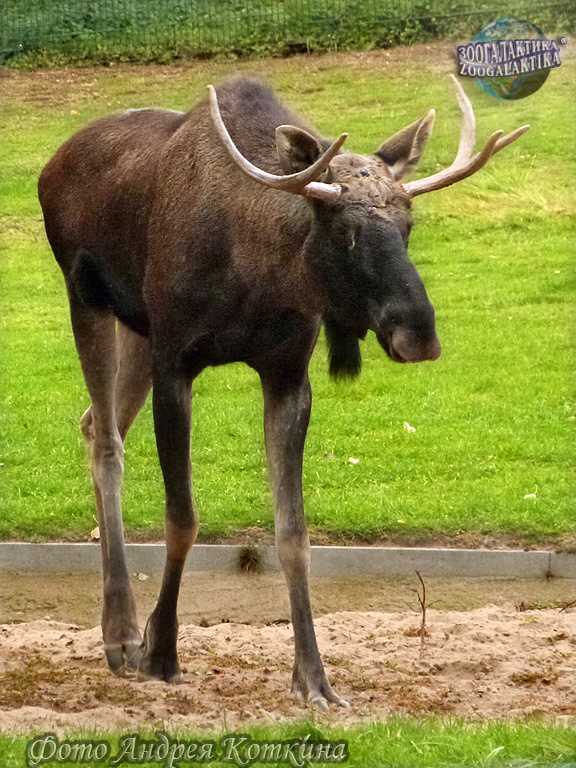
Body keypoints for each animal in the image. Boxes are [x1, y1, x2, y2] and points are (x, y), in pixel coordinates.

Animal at [39, 75, 528, 712]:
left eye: (408, 226)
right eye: (344, 232)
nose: (419, 334)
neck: (258, 270)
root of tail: (49, 166)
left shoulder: (288, 375)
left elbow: (293, 533)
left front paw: (314, 677)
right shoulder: (177, 364)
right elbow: (183, 517)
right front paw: (160, 650)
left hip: (138, 329)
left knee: (94, 423)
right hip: (88, 299)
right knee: (107, 445)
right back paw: (121, 631)